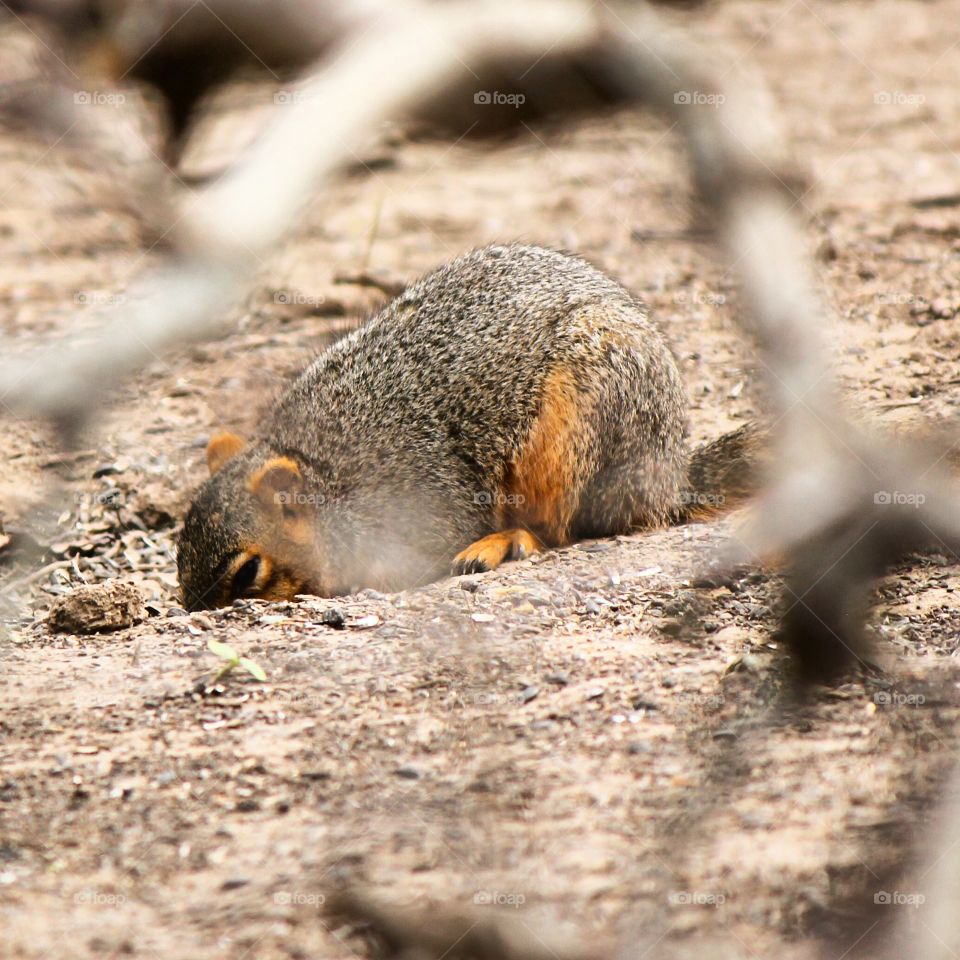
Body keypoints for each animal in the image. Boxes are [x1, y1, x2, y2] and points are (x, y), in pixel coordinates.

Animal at [174, 244, 756, 612]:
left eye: (247, 572)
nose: (193, 612)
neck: (324, 480)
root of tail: (667, 481)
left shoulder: (423, 502)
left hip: (576, 428)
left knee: (561, 529)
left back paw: (503, 543)